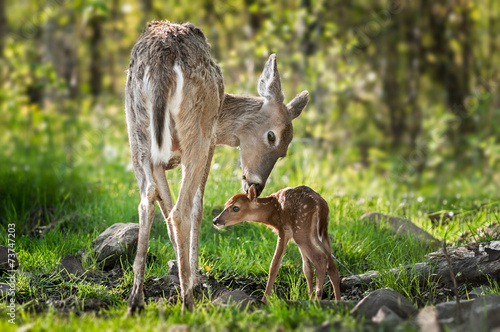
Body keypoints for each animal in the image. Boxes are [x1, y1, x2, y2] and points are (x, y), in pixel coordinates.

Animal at [125, 21, 308, 314]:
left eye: (284, 152)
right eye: (272, 137)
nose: (256, 185)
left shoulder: (159, 161)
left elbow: (162, 204)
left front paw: (181, 272)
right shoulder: (211, 142)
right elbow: (197, 206)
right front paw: (194, 280)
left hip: (137, 129)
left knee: (147, 200)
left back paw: (135, 300)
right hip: (197, 132)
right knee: (182, 209)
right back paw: (188, 302)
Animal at [213, 185, 342, 302]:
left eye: (236, 208)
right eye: (225, 205)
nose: (215, 220)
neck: (272, 214)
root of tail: (321, 204)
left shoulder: (284, 230)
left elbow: (274, 265)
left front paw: (265, 300)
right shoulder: (293, 234)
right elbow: (307, 269)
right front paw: (309, 297)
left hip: (301, 228)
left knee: (320, 258)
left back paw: (318, 298)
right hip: (319, 232)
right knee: (331, 264)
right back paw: (337, 301)